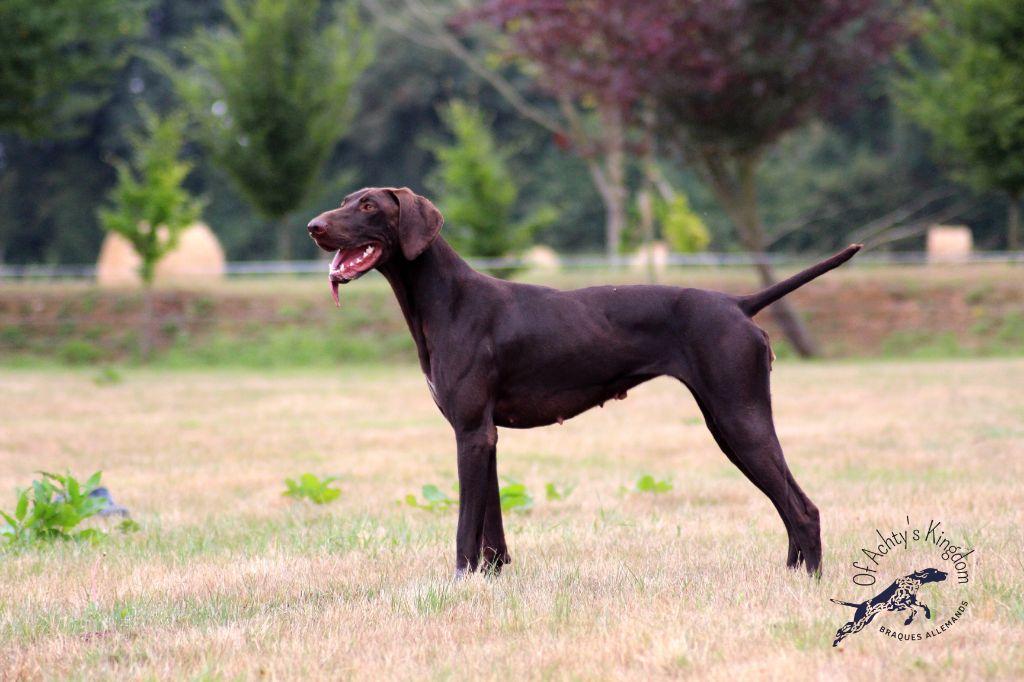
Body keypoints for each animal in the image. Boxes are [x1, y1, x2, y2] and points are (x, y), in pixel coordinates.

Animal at [307, 188, 860, 577]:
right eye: (345, 201)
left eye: (369, 205)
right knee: (788, 506)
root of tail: (738, 303)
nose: (314, 226)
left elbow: (466, 528)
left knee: (803, 509)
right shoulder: (486, 435)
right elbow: (492, 525)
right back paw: (790, 576)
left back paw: (808, 581)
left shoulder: (470, 433)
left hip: (739, 419)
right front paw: (493, 578)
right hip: (728, 425)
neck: (447, 300)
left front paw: (459, 583)